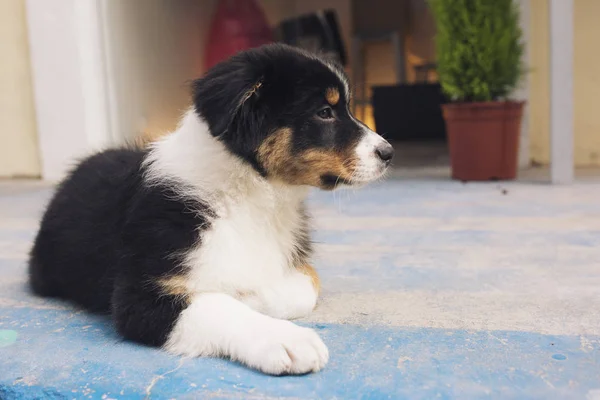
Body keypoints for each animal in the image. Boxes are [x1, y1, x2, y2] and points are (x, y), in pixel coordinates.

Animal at [28, 43, 394, 376]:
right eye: (324, 112)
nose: (389, 152)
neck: (251, 197)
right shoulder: (141, 294)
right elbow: (218, 306)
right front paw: (285, 340)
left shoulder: (296, 263)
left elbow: (305, 287)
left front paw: (250, 295)